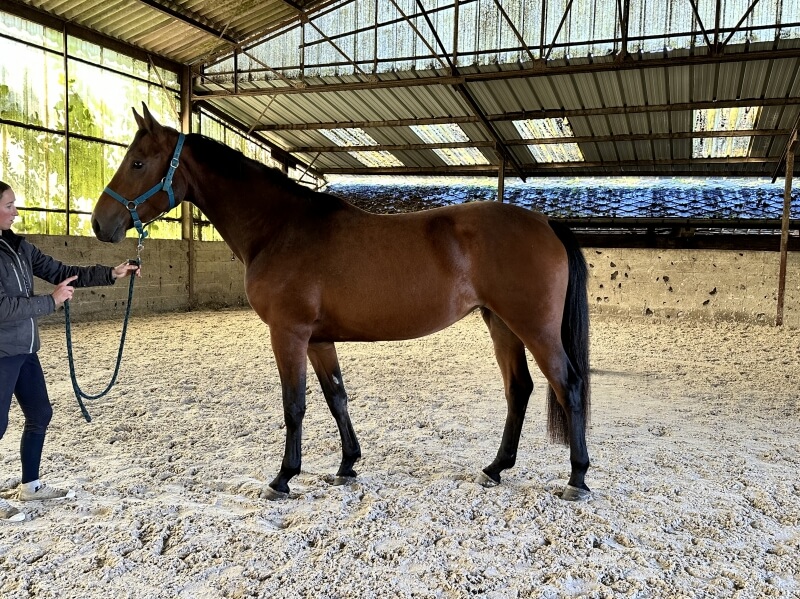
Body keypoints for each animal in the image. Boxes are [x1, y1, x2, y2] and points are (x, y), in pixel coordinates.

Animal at [91, 104, 592, 502]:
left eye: (137, 162)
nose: (99, 223)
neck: (280, 228)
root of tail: (546, 224)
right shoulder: (317, 339)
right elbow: (336, 397)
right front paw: (347, 465)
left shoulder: (288, 334)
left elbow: (294, 404)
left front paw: (283, 478)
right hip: (501, 323)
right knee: (519, 389)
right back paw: (495, 468)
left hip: (534, 327)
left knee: (568, 384)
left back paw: (577, 478)